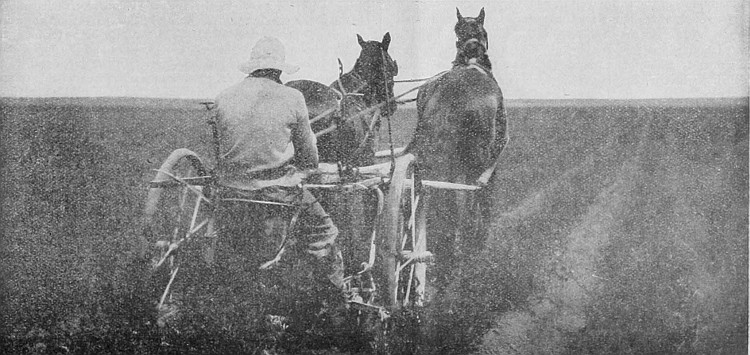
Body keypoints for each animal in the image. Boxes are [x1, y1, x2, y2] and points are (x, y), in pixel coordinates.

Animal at [408, 6, 508, 288]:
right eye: (484, 31)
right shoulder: (489, 163)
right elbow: (483, 199)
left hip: (434, 159)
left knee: (438, 201)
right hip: (475, 161)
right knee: (471, 201)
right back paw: (468, 253)